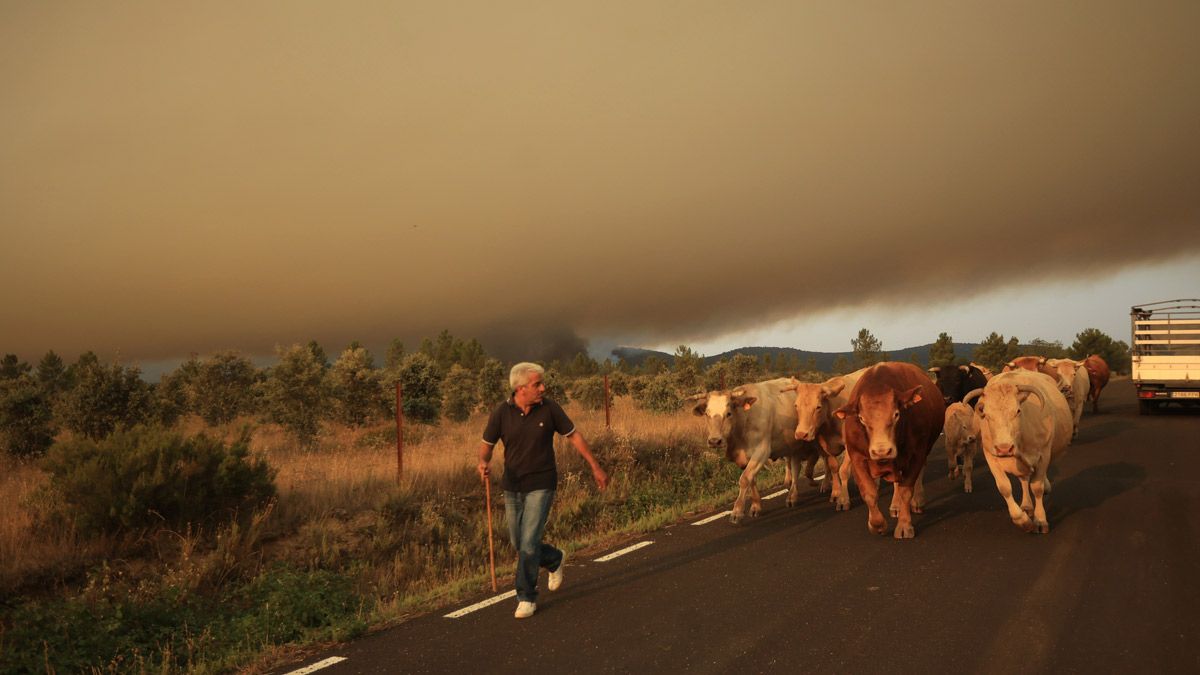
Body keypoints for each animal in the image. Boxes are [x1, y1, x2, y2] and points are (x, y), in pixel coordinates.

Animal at [969, 367, 1075, 530]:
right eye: (986, 414)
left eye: (1018, 411)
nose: (1004, 448)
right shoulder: (991, 456)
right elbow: (1004, 487)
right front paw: (1021, 519)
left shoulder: (1043, 454)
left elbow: (1037, 487)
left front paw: (1040, 519)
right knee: (1024, 480)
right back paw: (1026, 506)